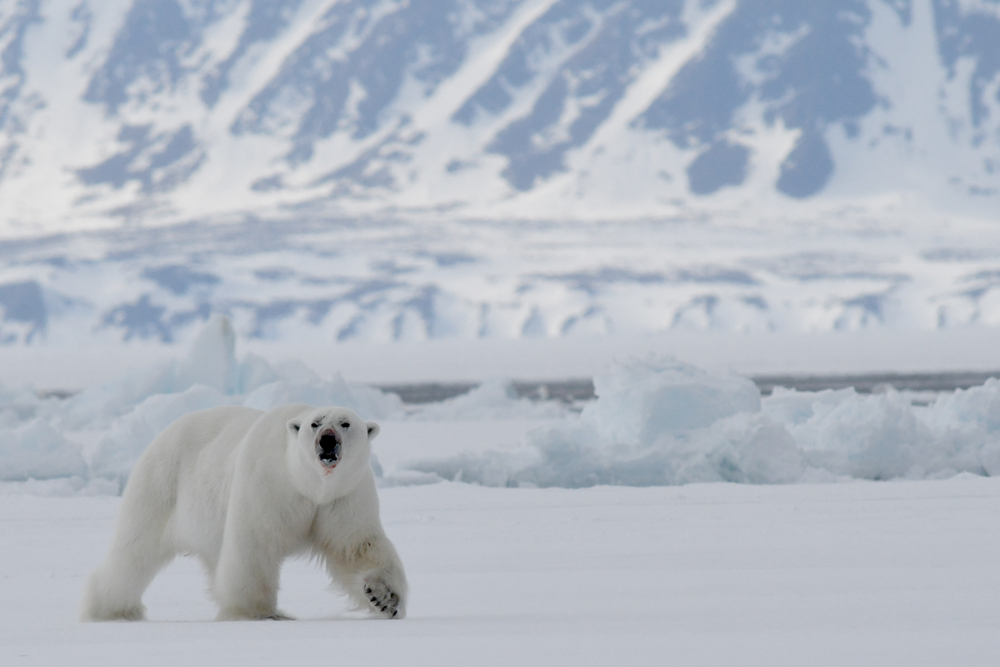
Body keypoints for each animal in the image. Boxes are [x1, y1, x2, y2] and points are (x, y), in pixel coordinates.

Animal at [81, 403, 407, 621]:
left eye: (345, 423)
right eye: (315, 424)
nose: (327, 440)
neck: (309, 484)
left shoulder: (343, 497)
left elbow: (357, 546)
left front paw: (384, 598)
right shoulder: (269, 485)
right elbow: (255, 545)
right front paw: (258, 613)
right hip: (161, 484)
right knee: (134, 551)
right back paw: (112, 610)